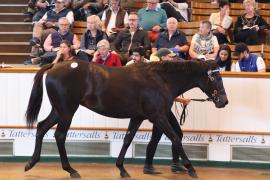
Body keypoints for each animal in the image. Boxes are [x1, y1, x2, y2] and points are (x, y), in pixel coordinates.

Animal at [24, 59, 228, 179]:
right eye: (216, 78)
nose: (224, 101)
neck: (160, 80)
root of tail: (55, 66)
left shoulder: (138, 117)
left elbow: (128, 139)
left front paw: (122, 168)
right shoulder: (158, 116)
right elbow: (175, 138)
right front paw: (191, 168)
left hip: (59, 110)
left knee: (41, 127)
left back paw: (31, 163)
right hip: (67, 111)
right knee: (59, 136)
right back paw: (71, 170)